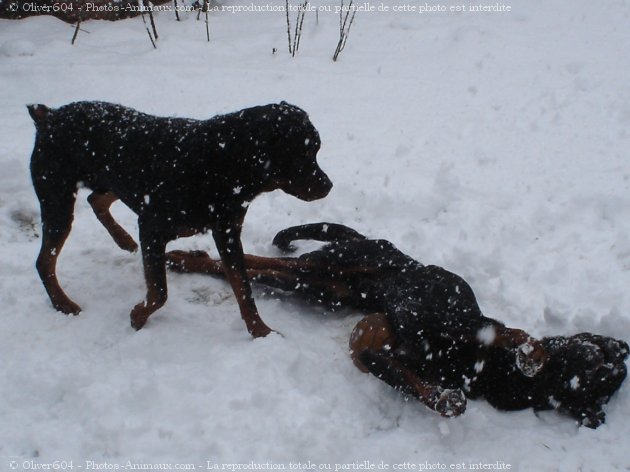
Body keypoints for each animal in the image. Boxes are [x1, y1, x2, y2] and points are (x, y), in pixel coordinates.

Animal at [28, 101, 336, 338]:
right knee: (44, 261)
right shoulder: (152, 228)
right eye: (304, 152)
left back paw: (123, 240)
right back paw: (63, 303)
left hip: (112, 181)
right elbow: (159, 291)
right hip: (57, 200)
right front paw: (138, 316)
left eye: (315, 150)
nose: (329, 185)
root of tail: (49, 116)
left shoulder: (227, 232)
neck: (224, 163)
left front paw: (261, 332)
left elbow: (243, 288)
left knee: (96, 199)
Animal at [165, 223, 628, 426]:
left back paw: (186, 261)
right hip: (335, 264)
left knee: (260, 269)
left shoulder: (379, 350)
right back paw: (186, 257)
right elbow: (515, 333)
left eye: (604, 380)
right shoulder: (458, 315)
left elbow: (426, 389)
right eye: (602, 358)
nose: (613, 355)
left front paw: (444, 396)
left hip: (320, 289)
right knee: (257, 259)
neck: (491, 367)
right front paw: (532, 353)